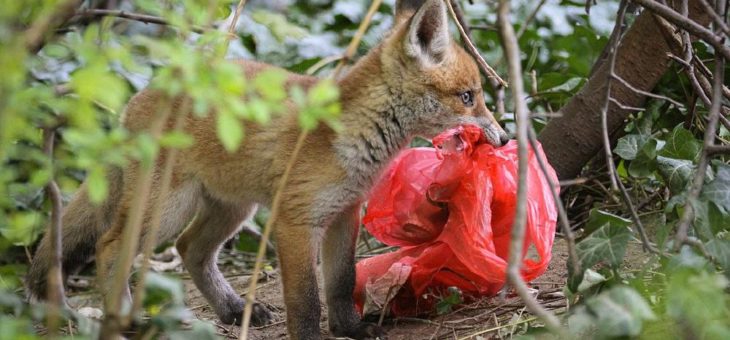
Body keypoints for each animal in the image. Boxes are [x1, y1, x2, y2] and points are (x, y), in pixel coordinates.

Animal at [27, 0, 506, 338]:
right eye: (468, 97)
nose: (503, 138)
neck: (352, 133)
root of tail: (136, 98)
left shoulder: (343, 214)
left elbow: (340, 282)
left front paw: (351, 329)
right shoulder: (294, 220)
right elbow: (306, 300)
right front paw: (313, 337)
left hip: (231, 208)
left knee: (191, 249)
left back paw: (233, 310)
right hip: (167, 207)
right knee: (111, 247)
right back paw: (125, 321)